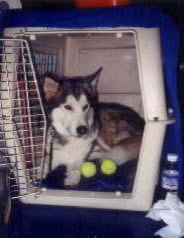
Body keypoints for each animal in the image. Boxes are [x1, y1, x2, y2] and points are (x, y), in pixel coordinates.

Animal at [30, 32, 144, 193]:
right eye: (68, 107)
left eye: (86, 107)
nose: (83, 130)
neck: (70, 139)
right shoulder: (51, 154)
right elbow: (44, 164)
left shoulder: (78, 159)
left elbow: (76, 168)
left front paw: (72, 178)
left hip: (104, 127)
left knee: (112, 150)